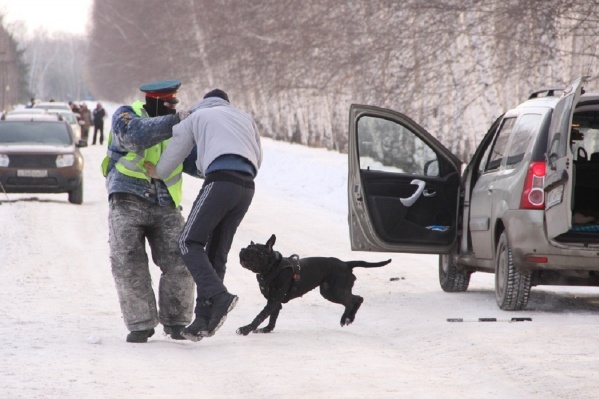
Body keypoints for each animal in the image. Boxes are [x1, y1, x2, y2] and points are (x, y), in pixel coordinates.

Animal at [237, 236, 392, 336]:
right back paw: (348, 318)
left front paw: (245, 329)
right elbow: (271, 318)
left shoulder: (274, 300)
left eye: (254, 251)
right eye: (248, 247)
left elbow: (260, 316)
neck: (272, 268)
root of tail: (346, 264)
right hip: (328, 292)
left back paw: (347, 318)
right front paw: (266, 329)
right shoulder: (274, 302)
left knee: (356, 299)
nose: (242, 249)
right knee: (355, 299)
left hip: (337, 291)